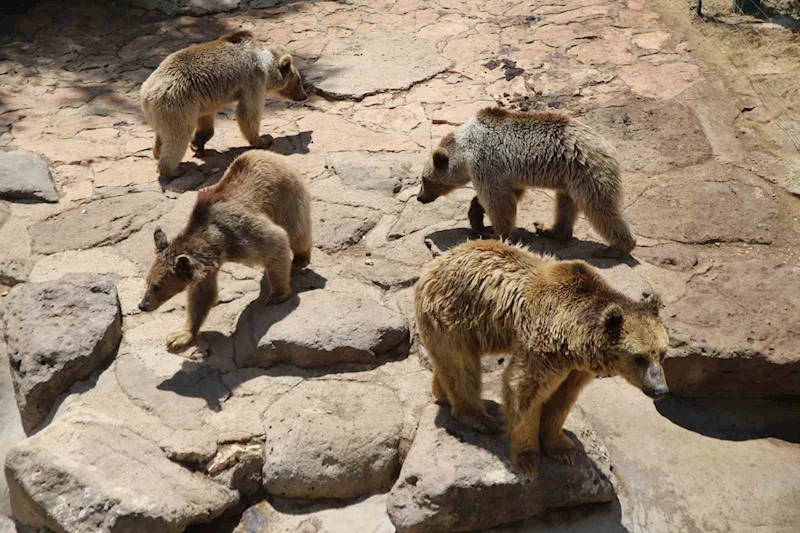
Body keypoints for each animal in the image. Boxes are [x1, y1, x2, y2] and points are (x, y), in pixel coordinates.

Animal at [138, 149, 312, 350]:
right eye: (147, 281)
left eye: (158, 286)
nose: (142, 305)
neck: (217, 244)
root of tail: (271, 154)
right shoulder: (207, 269)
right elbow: (201, 296)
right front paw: (180, 335)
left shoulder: (240, 234)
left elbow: (276, 241)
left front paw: (277, 294)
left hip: (285, 194)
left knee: (296, 230)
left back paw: (300, 258)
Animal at [141, 30, 306, 177]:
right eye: (298, 80)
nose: (304, 96)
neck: (264, 63)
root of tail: (145, 93)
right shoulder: (252, 80)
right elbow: (248, 112)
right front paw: (264, 140)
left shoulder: (203, 99)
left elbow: (206, 120)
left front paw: (198, 143)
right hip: (176, 102)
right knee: (178, 137)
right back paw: (173, 170)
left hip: (164, 111)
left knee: (163, 134)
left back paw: (157, 152)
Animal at [416, 106, 636, 258]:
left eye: (425, 180)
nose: (420, 198)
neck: (464, 151)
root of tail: (608, 147)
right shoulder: (505, 174)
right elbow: (506, 195)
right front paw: (476, 217)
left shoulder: (486, 163)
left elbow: (498, 202)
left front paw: (495, 233)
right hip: (569, 179)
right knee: (566, 205)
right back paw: (548, 229)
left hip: (587, 172)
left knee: (600, 208)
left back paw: (616, 248)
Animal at [416, 239, 672, 476]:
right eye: (639, 357)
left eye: (662, 353)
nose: (660, 390)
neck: (575, 336)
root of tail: (436, 262)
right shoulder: (545, 346)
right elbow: (524, 390)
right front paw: (527, 459)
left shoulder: (576, 366)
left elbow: (562, 399)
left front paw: (563, 448)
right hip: (452, 314)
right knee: (462, 365)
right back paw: (479, 418)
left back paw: (442, 393)